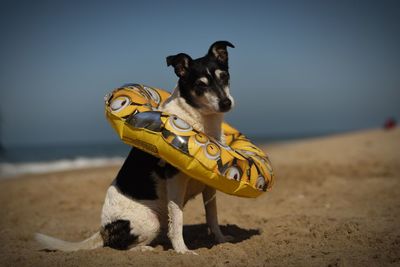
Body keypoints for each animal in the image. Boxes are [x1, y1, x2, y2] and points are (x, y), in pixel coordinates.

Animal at [36, 40, 236, 254]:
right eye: (200, 85)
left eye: (224, 76)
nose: (226, 103)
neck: (201, 121)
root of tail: (103, 230)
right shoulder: (175, 180)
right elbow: (178, 220)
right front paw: (182, 251)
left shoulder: (210, 185)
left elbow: (212, 216)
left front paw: (221, 240)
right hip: (150, 220)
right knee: (123, 246)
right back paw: (145, 249)